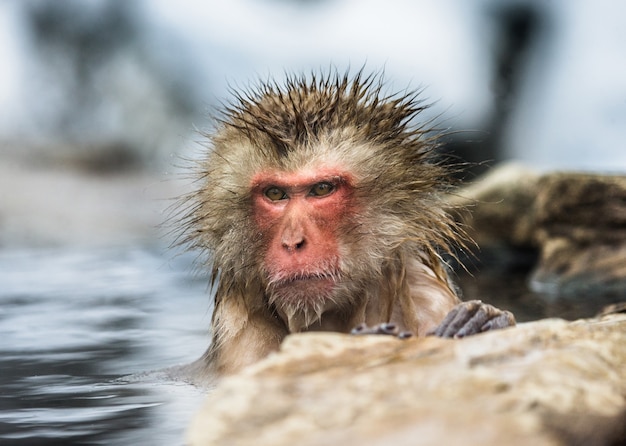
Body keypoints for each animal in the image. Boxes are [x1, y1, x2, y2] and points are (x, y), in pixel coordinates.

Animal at [176, 69, 512, 380]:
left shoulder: (429, 297)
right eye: (274, 194)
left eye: (322, 189)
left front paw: (481, 322)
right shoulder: (241, 336)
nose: (293, 242)